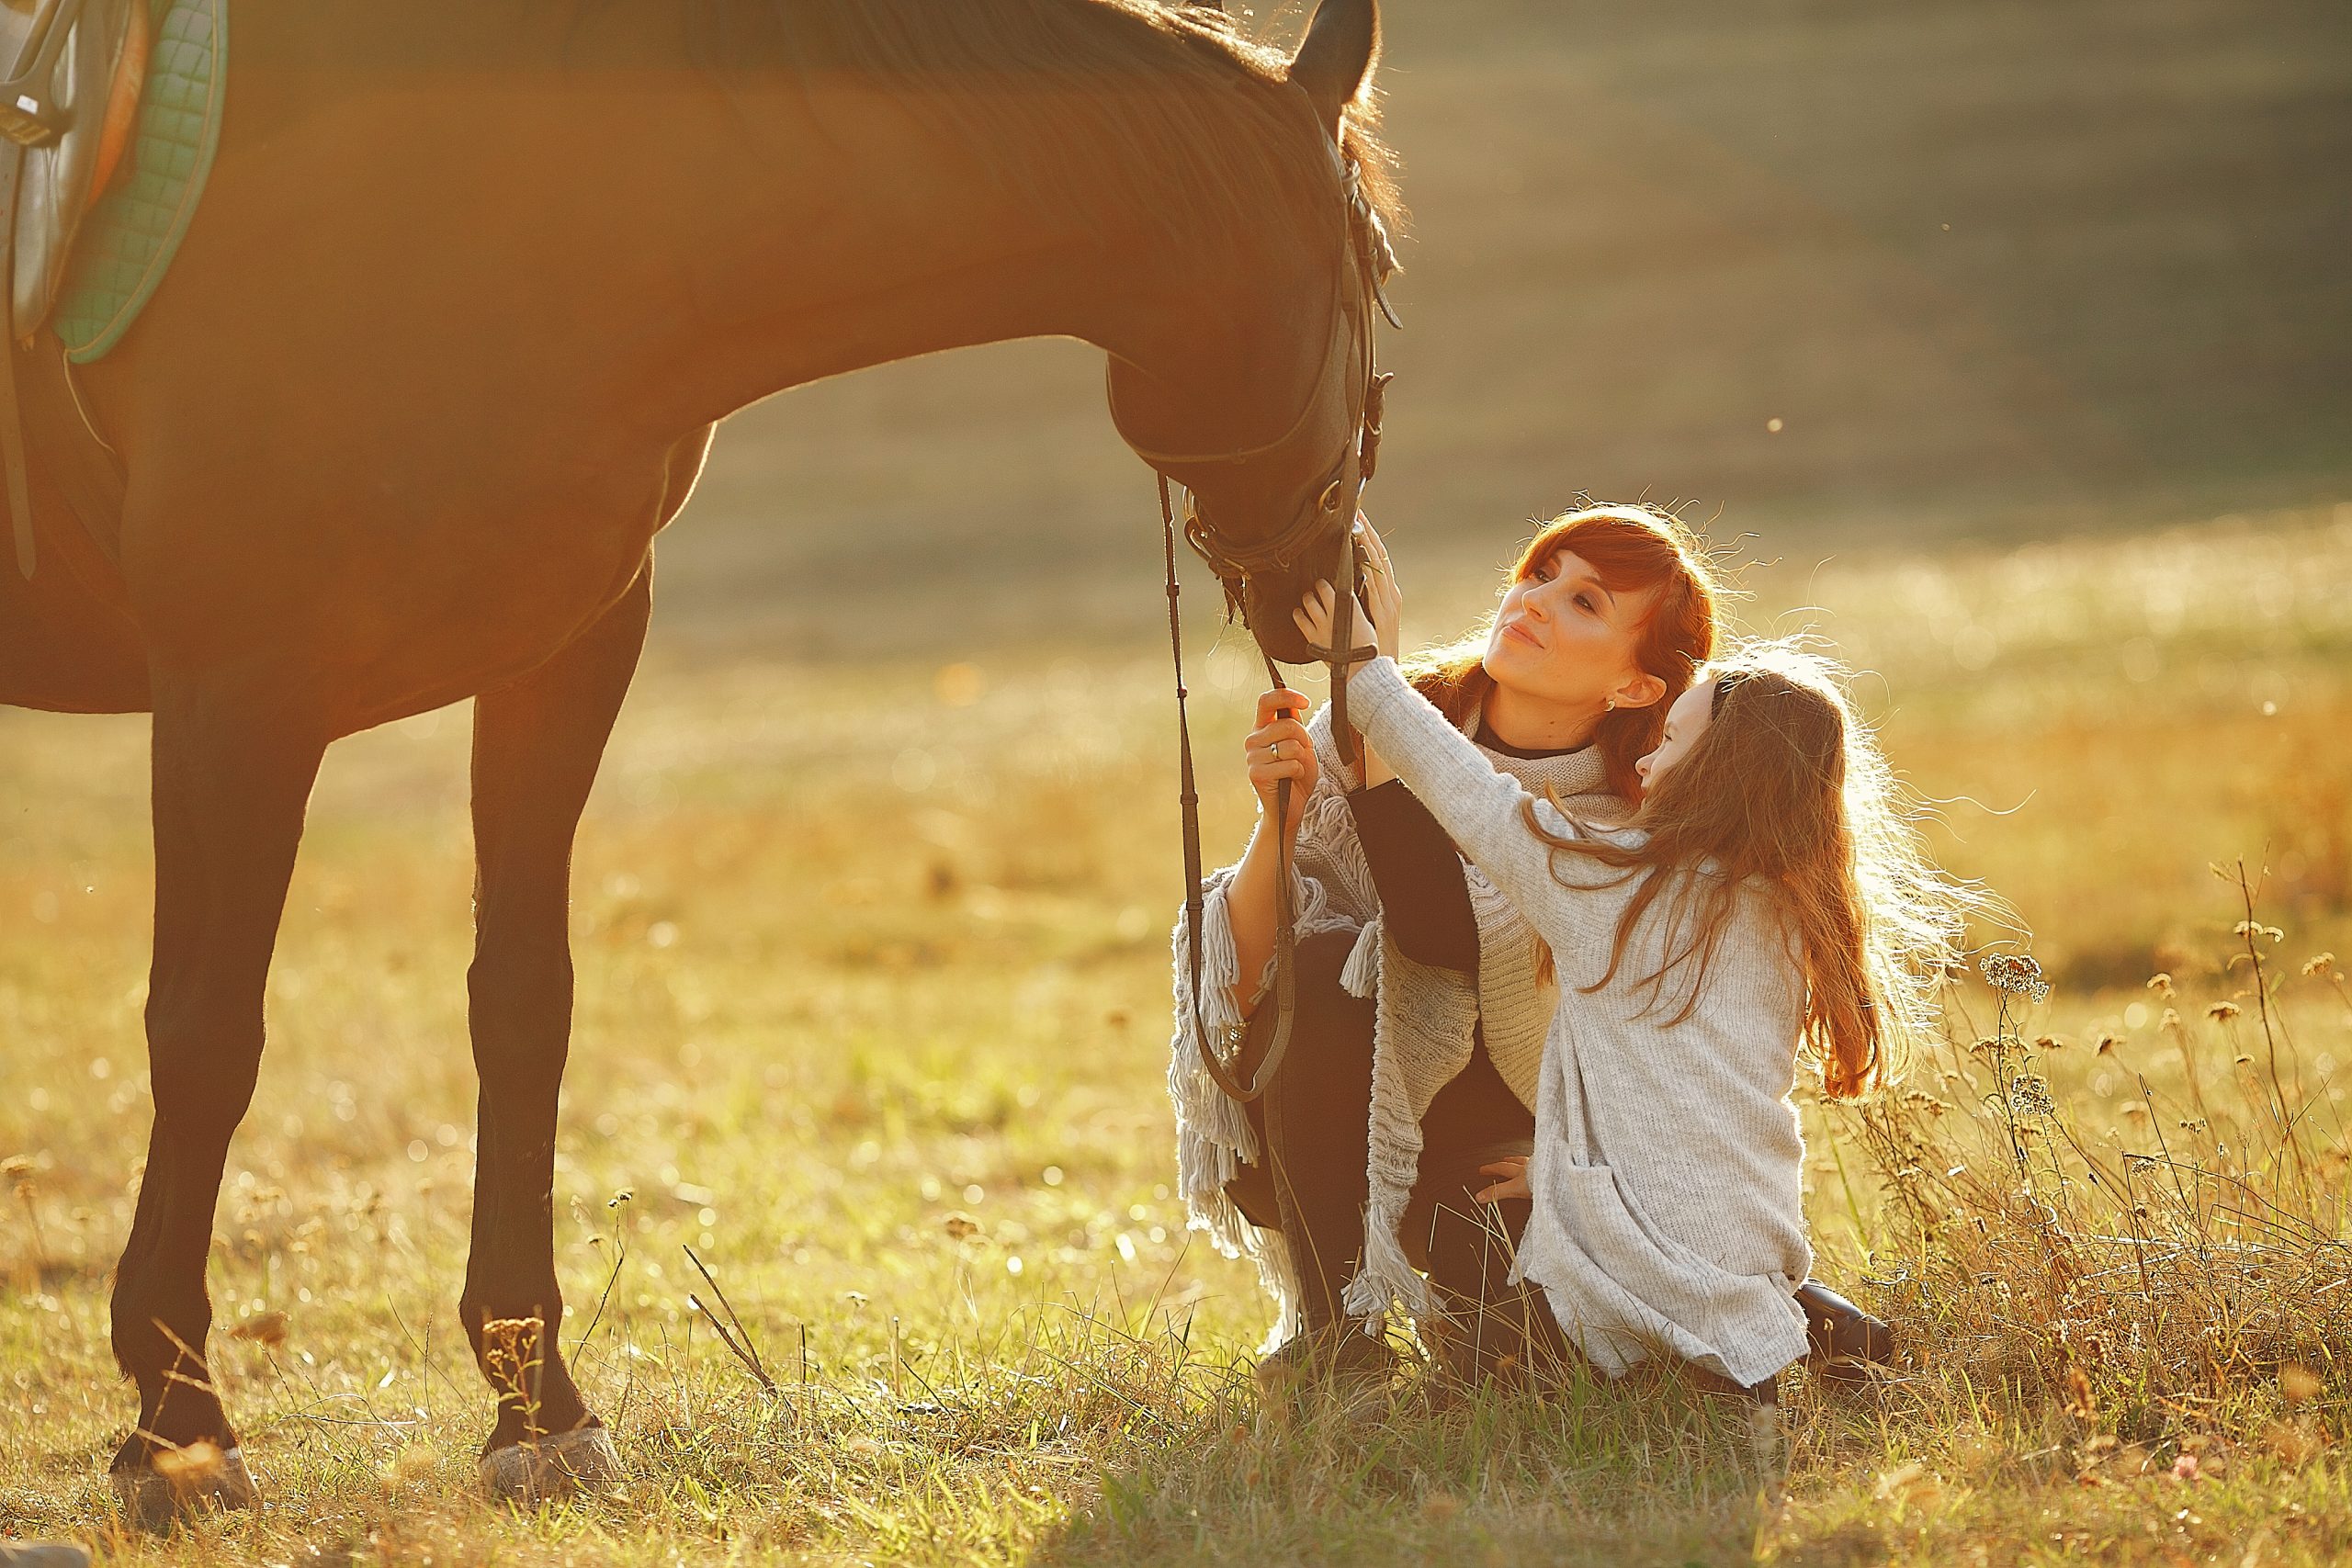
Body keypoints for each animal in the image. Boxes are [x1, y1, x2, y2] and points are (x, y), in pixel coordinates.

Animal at [0, 0, 1400, 1514]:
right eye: (1379, 271)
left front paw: (536, 1407)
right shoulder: (235, 689)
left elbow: (522, 1007)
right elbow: (205, 1034)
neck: (499, 208)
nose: (1338, 592)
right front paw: (175, 1429)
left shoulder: (562, 654)